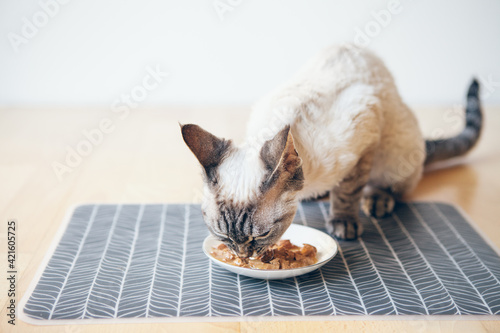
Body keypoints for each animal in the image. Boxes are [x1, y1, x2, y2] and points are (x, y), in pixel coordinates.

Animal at [180, 43, 480, 256]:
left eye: (261, 236)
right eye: (223, 236)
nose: (243, 256)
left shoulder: (365, 135)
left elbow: (347, 192)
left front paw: (343, 223)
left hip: (396, 154)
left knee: (391, 186)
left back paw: (377, 200)